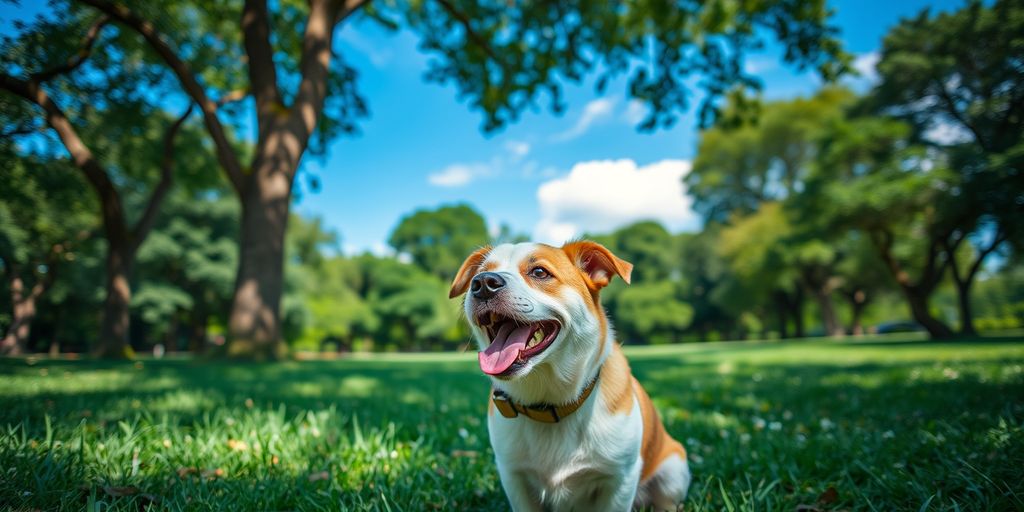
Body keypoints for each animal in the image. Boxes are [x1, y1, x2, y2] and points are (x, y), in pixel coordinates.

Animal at [448, 240, 688, 512]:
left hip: (673, 473)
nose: (482, 283)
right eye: (480, 273)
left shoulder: (620, 478)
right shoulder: (514, 476)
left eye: (539, 272)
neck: (550, 402)